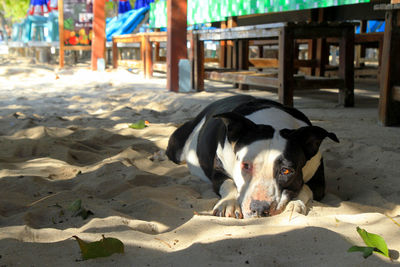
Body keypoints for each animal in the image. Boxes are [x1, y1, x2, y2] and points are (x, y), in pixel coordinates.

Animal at [166, 95, 338, 219]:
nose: (259, 209)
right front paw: (228, 203)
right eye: (245, 165)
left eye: (286, 171)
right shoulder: (219, 172)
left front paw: (295, 202)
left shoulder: (318, 181)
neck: (273, 120)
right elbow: (228, 183)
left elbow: (305, 187)